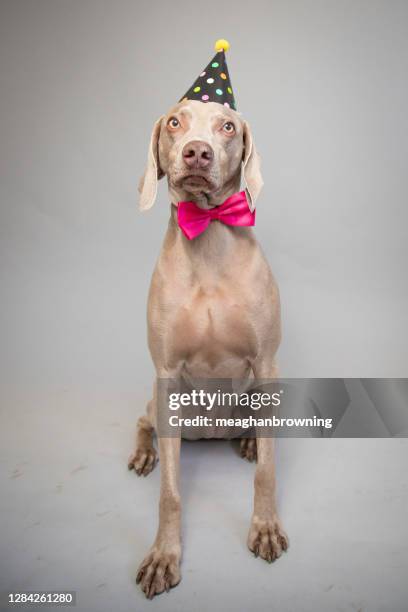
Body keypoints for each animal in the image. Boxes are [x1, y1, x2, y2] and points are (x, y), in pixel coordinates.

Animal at [129, 99, 288, 596]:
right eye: (174, 122)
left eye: (228, 126)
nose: (197, 153)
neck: (210, 238)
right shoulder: (165, 373)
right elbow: (170, 494)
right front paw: (164, 556)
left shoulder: (267, 364)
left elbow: (267, 473)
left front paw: (265, 528)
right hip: (158, 402)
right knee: (144, 421)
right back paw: (145, 452)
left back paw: (251, 441)